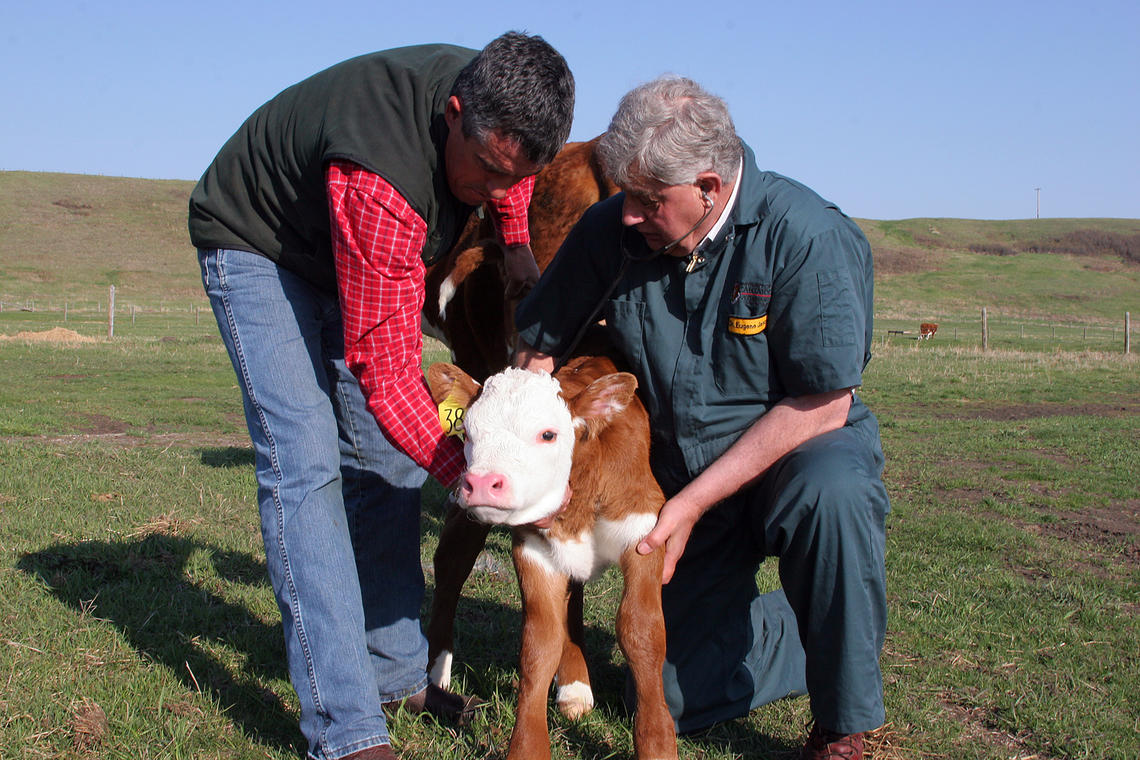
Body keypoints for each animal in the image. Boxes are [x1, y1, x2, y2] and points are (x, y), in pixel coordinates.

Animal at [428, 357, 674, 760]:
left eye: (548, 435)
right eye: (468, 431)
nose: (482, 483)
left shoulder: (644, 532)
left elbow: (641, 630)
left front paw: (658, 743)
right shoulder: (533, 550)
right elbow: (539, 644)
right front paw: (527, 747)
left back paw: (575, 688)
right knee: (451, 568)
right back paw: (436, 677)